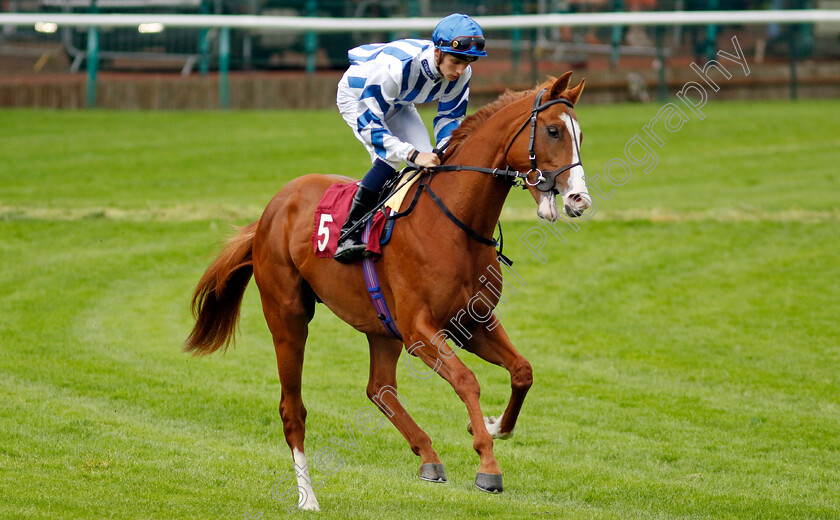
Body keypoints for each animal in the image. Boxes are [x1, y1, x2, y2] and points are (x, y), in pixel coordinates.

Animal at [186, 71, 588, 510]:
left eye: (580, 134)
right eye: (553, 131)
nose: (578, 198)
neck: (455, 225)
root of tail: (270, 210)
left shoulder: (472, 322)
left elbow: (522, 371)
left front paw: (496, 425)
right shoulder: (419, 331)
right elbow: (467, 381)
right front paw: (488, 465)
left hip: (380, 326)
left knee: (379, 389)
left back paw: (428, 456)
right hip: (288, 317)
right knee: (293, 410)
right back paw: (307, 497)